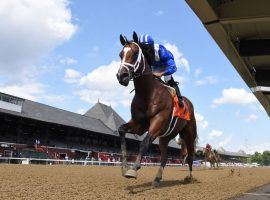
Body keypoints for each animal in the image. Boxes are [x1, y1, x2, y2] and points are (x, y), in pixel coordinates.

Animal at [115, 32, 196, 187]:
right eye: (120, 54)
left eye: (135, 53)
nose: (122, 76)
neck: (148, 93)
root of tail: (189, 103)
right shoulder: (139, 125)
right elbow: (121, 130)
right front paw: (124, 167)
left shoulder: (157, 122)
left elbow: (144, 143)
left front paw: (133, 169)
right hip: (165, 137)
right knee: (164, 157)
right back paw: (157, 179)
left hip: (188, 134)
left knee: (190, 155)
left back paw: (190, 177)